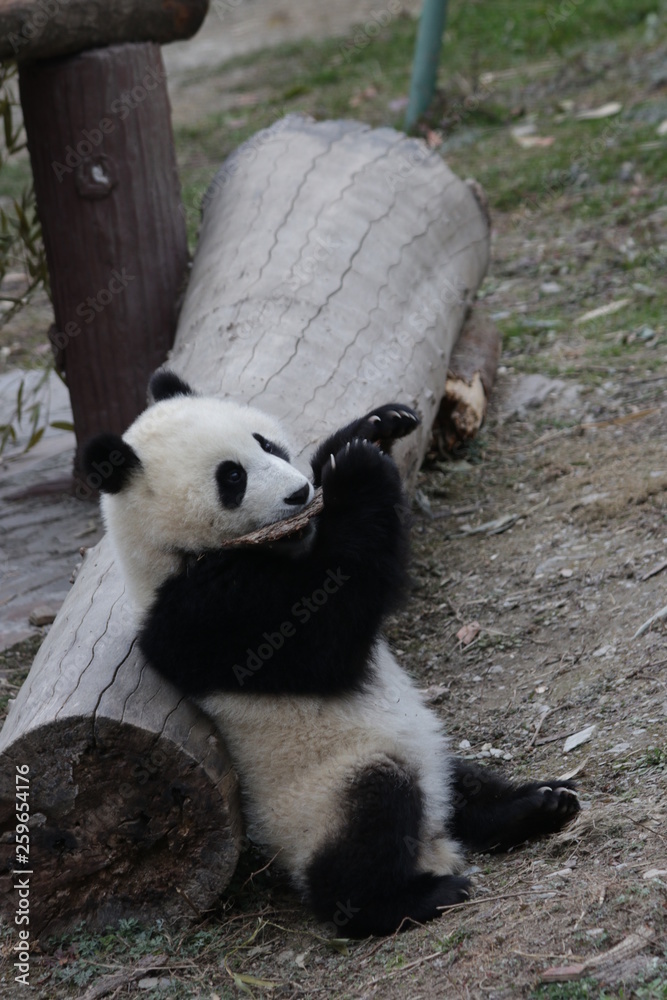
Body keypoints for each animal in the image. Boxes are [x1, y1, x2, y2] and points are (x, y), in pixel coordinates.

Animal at [83, 369, 580, 938]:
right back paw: (412, 897)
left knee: (463, 784)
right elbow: (325, 624)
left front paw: (374, 427)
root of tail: (433, 842)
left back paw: (537, 804)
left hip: (426, 754)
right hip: (321, 794)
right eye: (231, 478)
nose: (299, 493)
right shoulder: (205, 613)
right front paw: (360, 473)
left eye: (267, 444)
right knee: (367, 823)